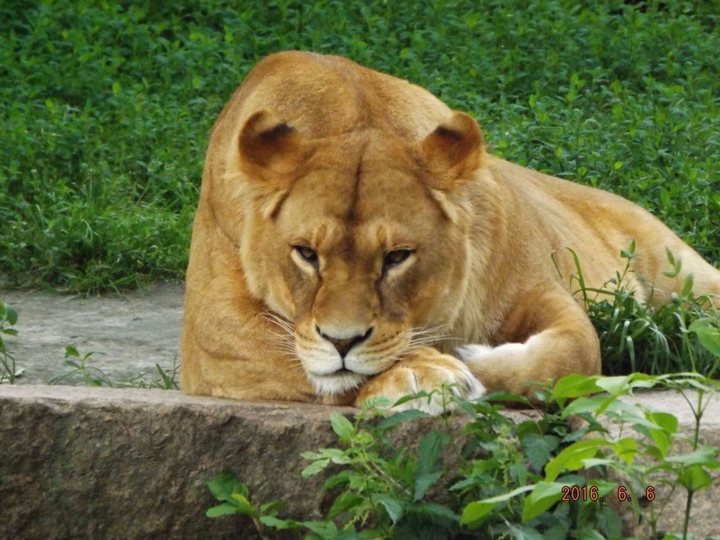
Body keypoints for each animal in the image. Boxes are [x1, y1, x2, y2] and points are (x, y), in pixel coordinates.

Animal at [180, 51, 720, 413]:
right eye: (306, 254)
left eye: (397, 257)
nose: (342, 342)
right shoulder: (211, 331)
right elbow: (295, 357)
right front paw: (424, 371)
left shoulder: (534, 283)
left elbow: (577, 349)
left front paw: (466, 360)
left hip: (685, 277)